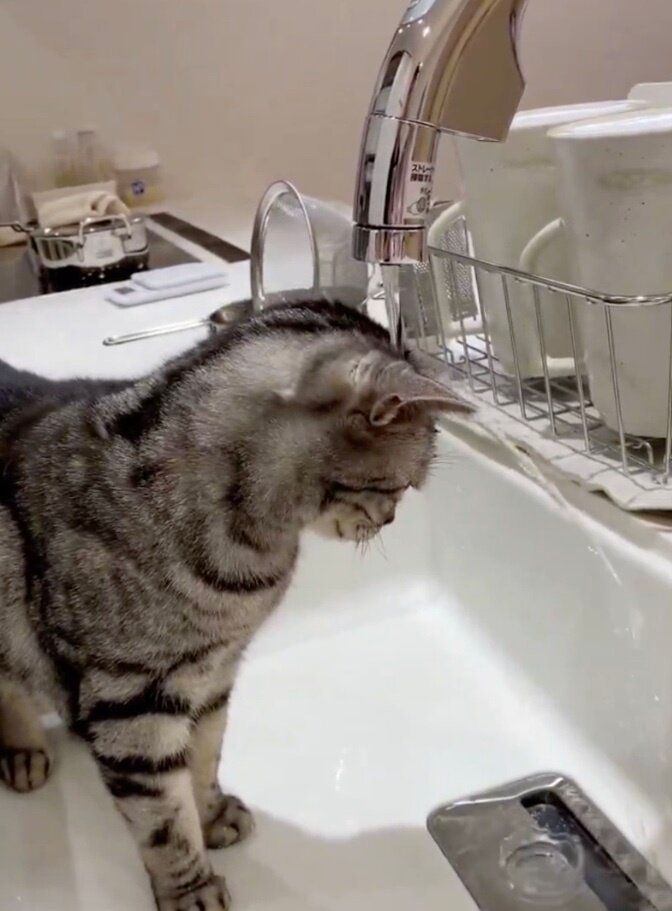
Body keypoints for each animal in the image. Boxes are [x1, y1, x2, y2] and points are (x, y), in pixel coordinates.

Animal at [0, 299, 469, 910]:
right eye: (401, 487)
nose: (389, 521)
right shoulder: (132, 702)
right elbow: (162, 818)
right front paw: (189, 887)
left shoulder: (214, 673)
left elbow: (204, 758)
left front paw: (212, 814)